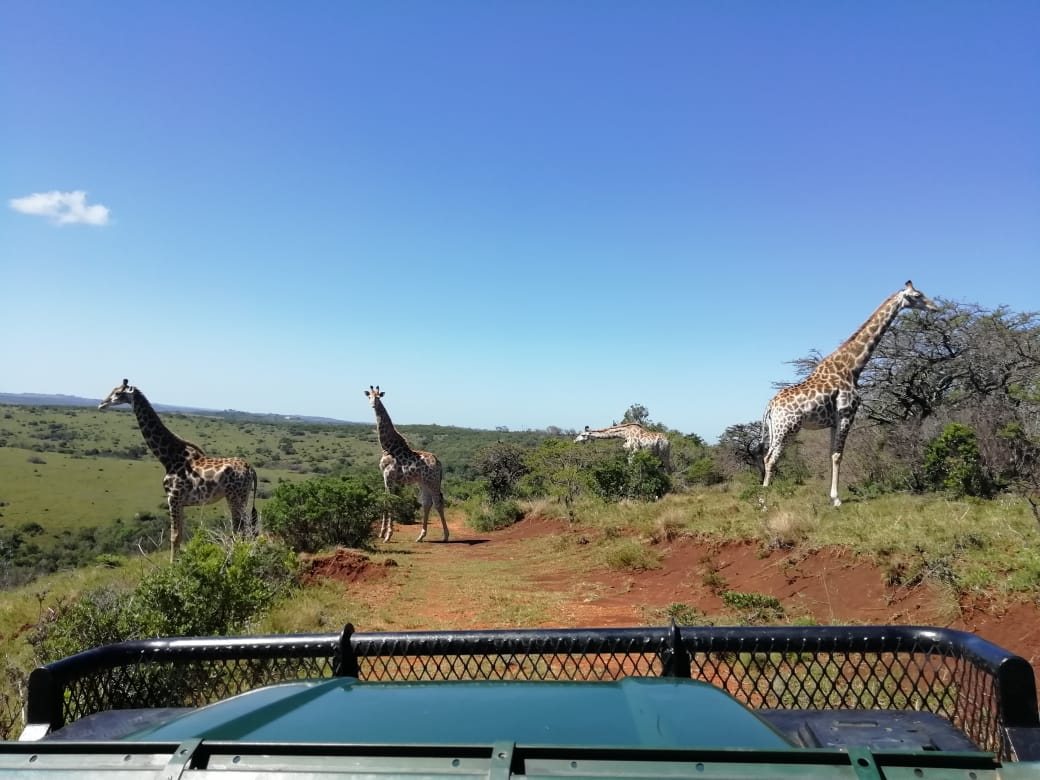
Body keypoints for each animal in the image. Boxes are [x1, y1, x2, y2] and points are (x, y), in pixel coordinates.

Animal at [98, 379, 258, 560]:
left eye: (118, 393)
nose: (101, 404)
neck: (168, 457)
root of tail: (251, 469)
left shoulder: (173, 498)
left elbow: (173, 537)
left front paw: (172, 566)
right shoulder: (180, 502)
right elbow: (179, 535)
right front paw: (179, 562)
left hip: (235, 496)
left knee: (240, 528)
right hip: (243, 496)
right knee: (243, 528)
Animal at [365, 386, 449, 543]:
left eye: (378, 397)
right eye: (369, 397)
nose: (373, 405)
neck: (387, 447)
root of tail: (439, 463)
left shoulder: (389, 477)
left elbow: (390, 501)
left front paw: (388, 535)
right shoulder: (385, 478)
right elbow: (385, 500)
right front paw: (382, 533)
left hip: (432, 481)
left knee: (438, 502)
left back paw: (446, 536)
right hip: (423, 482)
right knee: (427, 503)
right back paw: (421, 536)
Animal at [760, 281, 939, 507]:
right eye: (917, 295)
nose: (935, 307)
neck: (852, 367)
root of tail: (770, 406)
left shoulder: (833, 421)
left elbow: (831, 454)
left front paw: (831, 496)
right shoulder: (847, 414)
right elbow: (838, 455)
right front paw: (837, 499)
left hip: (776, 429)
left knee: (767, 457)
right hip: (787, 428)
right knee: (771, 458)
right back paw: (763, 502)